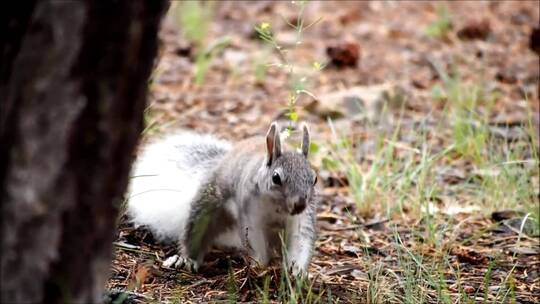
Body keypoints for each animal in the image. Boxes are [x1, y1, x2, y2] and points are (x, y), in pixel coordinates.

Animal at [126, 121, 316, 276]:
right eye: (276, 178)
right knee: (196, 233)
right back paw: (187, 259)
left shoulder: (301, 219)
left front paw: (297, 269)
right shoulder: (249, 210)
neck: (277, 207)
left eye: (314, 179)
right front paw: (260, 267)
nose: (299, 204)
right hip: (208, 209)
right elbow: (254, 238)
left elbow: (300, 240)